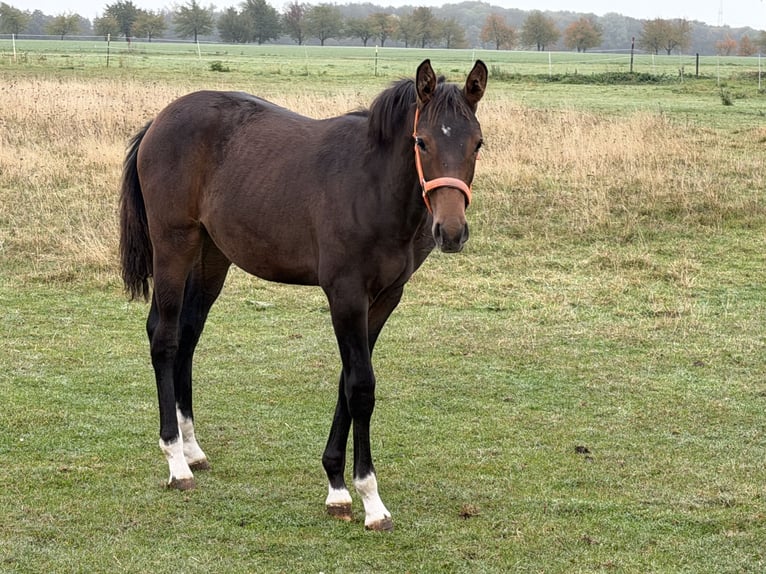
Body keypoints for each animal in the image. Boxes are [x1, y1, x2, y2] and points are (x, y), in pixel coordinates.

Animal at [119, 59, 487, 531]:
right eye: (421, 141)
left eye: (477, 144)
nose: (451, 232)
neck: (372, 187)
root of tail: (159, 121)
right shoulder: (345, 295)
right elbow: (361, 386)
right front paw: (369, 499)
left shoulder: (385, 298)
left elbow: (347, 382)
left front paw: (336, 486)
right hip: (173, 245)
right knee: (164, 339)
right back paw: (176, 462)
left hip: (210, 256)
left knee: (187, 337)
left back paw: (192, 449)